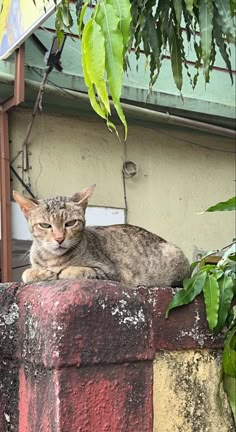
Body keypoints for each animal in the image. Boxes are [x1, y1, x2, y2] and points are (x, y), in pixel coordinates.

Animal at [12, 185, 190, 288]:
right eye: (45, 225)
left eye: (70, 223)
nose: (59, 238)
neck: (53, 259)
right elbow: (26, 273)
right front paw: (39, 273)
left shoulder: (111, 273)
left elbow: (83, 270)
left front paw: (64, 271)